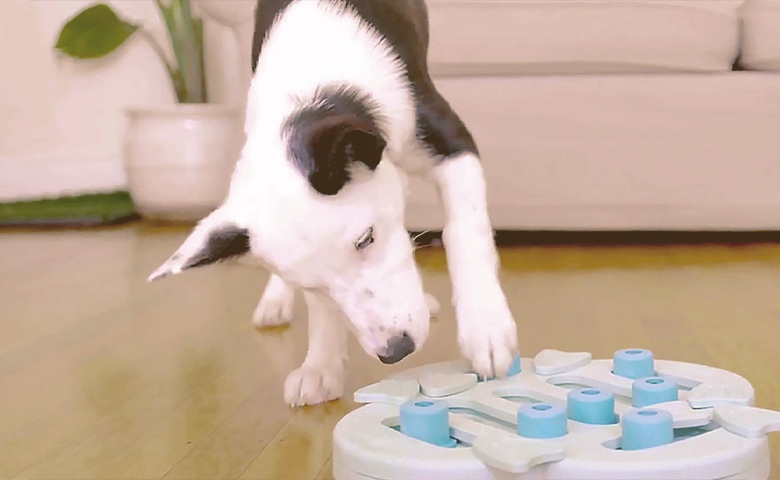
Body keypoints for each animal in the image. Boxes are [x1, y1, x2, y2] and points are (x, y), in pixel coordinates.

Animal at [150, 0, 520, 406]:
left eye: (366, 239)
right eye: (314, 285)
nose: (397, 351)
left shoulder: (450, 143)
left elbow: (463, 231)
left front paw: (485, 327)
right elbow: (322, 308)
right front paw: (320, 365)